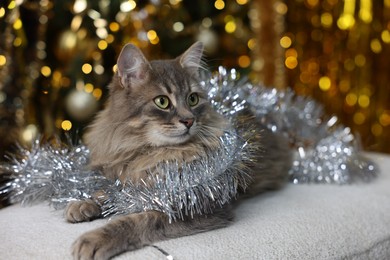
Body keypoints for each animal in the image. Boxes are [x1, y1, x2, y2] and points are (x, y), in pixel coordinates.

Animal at [65, 42, 290, 260]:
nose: (189, 120)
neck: (147, 152)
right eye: (162, 101)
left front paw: (95, 239)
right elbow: (108, 191)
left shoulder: (193, 206)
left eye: (192, 99)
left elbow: (139, 221)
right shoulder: (125, 177)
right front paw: (83, 203)